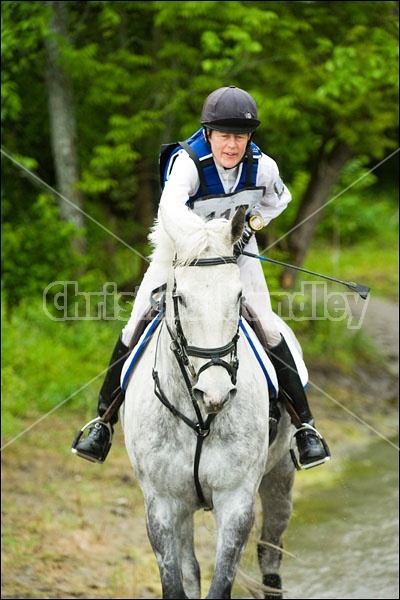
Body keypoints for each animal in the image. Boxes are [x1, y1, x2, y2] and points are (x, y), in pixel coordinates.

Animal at [120, 204, 296, 596]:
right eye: (180, 298)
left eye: (238, 297)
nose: (214, 392)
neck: (199, 418)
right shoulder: (163, 505)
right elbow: (176, 583)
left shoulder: (236, 501)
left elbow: (221, 584)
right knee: (192, 569)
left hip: (280, 476)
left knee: (270, 556)